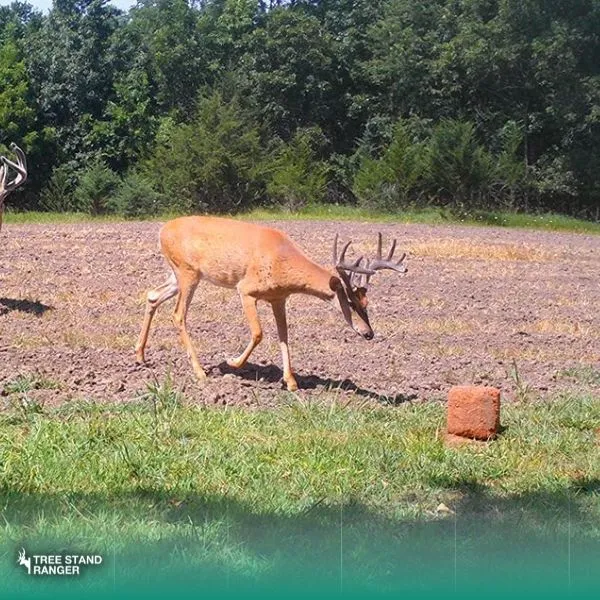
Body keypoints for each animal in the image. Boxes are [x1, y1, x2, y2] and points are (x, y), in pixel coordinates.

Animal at [137, 218, 408, 392]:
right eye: (350, 302)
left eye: (366, 301)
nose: (369, 333)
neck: (281, 258)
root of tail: (162, 230)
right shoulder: (245, 290)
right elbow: (258, 333)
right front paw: (232, 363)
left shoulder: (279, 298)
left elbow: (284, 335)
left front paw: (292, 382)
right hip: (188, 272)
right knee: (178, 314)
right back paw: (200, 371)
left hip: (177, 274)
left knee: (152, 295)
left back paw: (140, 357)